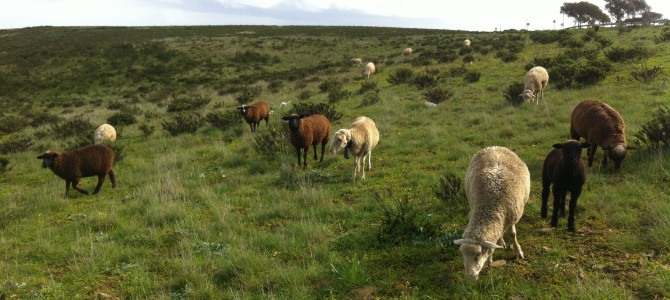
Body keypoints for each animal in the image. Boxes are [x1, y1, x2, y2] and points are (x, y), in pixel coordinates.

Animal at [454, 146, 532, 280]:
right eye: (463, 255)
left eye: (478, 255)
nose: (470, 277)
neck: (489, 206)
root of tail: (495, 147)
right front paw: (491, 258)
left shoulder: (512, 216)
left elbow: (512, 234)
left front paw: (518, 251)